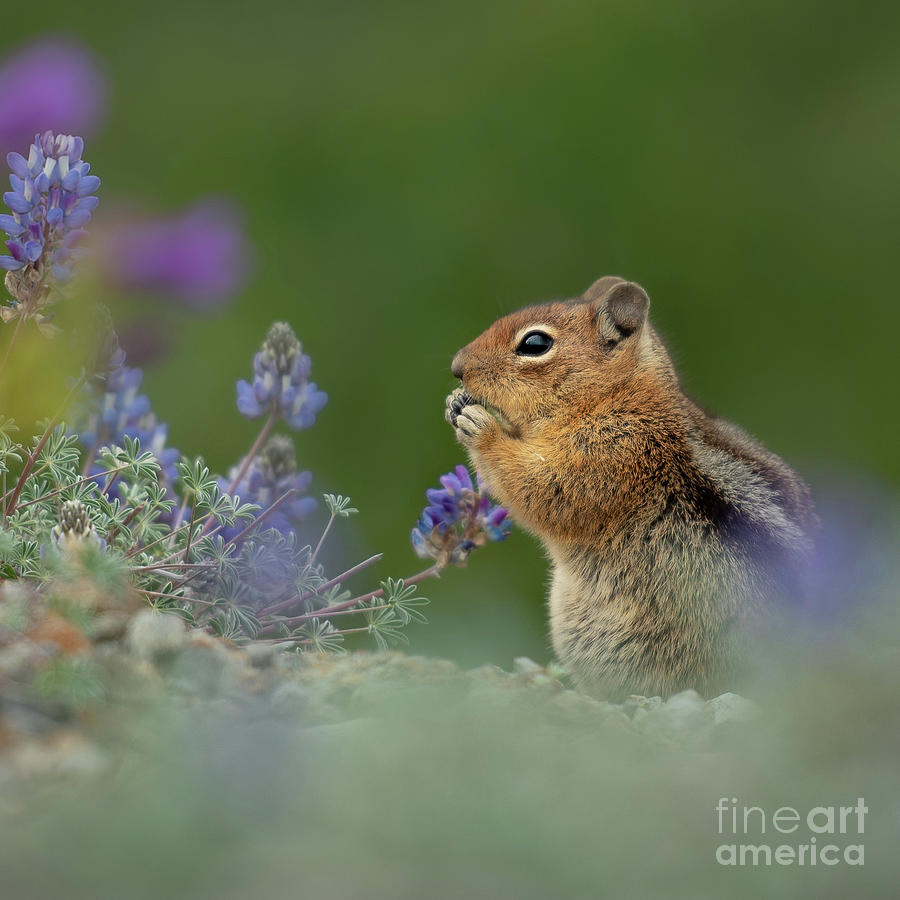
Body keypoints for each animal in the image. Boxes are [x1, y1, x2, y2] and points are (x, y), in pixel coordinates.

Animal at [446, 278, 820, 700]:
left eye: (535, 344)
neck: (617, 396)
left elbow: (541, 488)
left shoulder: (610, 453)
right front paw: (455, 403)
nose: (456, 367)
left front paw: (479, 425)